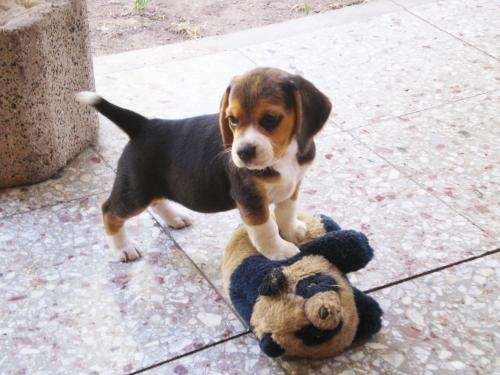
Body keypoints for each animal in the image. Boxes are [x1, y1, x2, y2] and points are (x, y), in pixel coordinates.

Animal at [76, 67, 330, 262]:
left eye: (270, 119)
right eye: (232, 120)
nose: (242, 152)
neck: (283, 156)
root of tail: (144, 125)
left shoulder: (292, 185)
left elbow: (286, 211)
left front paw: (293, 231)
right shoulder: (250, 198)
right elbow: (265, 228)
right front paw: (279, 250)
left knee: (157, 201)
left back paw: (174, 218)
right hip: (135, 192)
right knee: (109, 211)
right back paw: (123, 248)